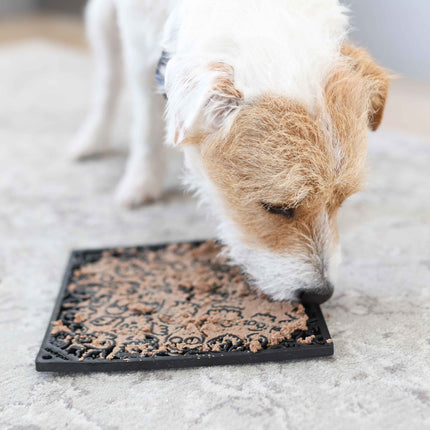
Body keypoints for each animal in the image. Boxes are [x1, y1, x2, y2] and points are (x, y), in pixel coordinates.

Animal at [69, 0, 390, 304]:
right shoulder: (137, 45)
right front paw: (141, 182)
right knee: (108, 80)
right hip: (101, 19)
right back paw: (91, 140)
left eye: (341, 200)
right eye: (276, 207)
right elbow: (145, 123)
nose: (320, 295)